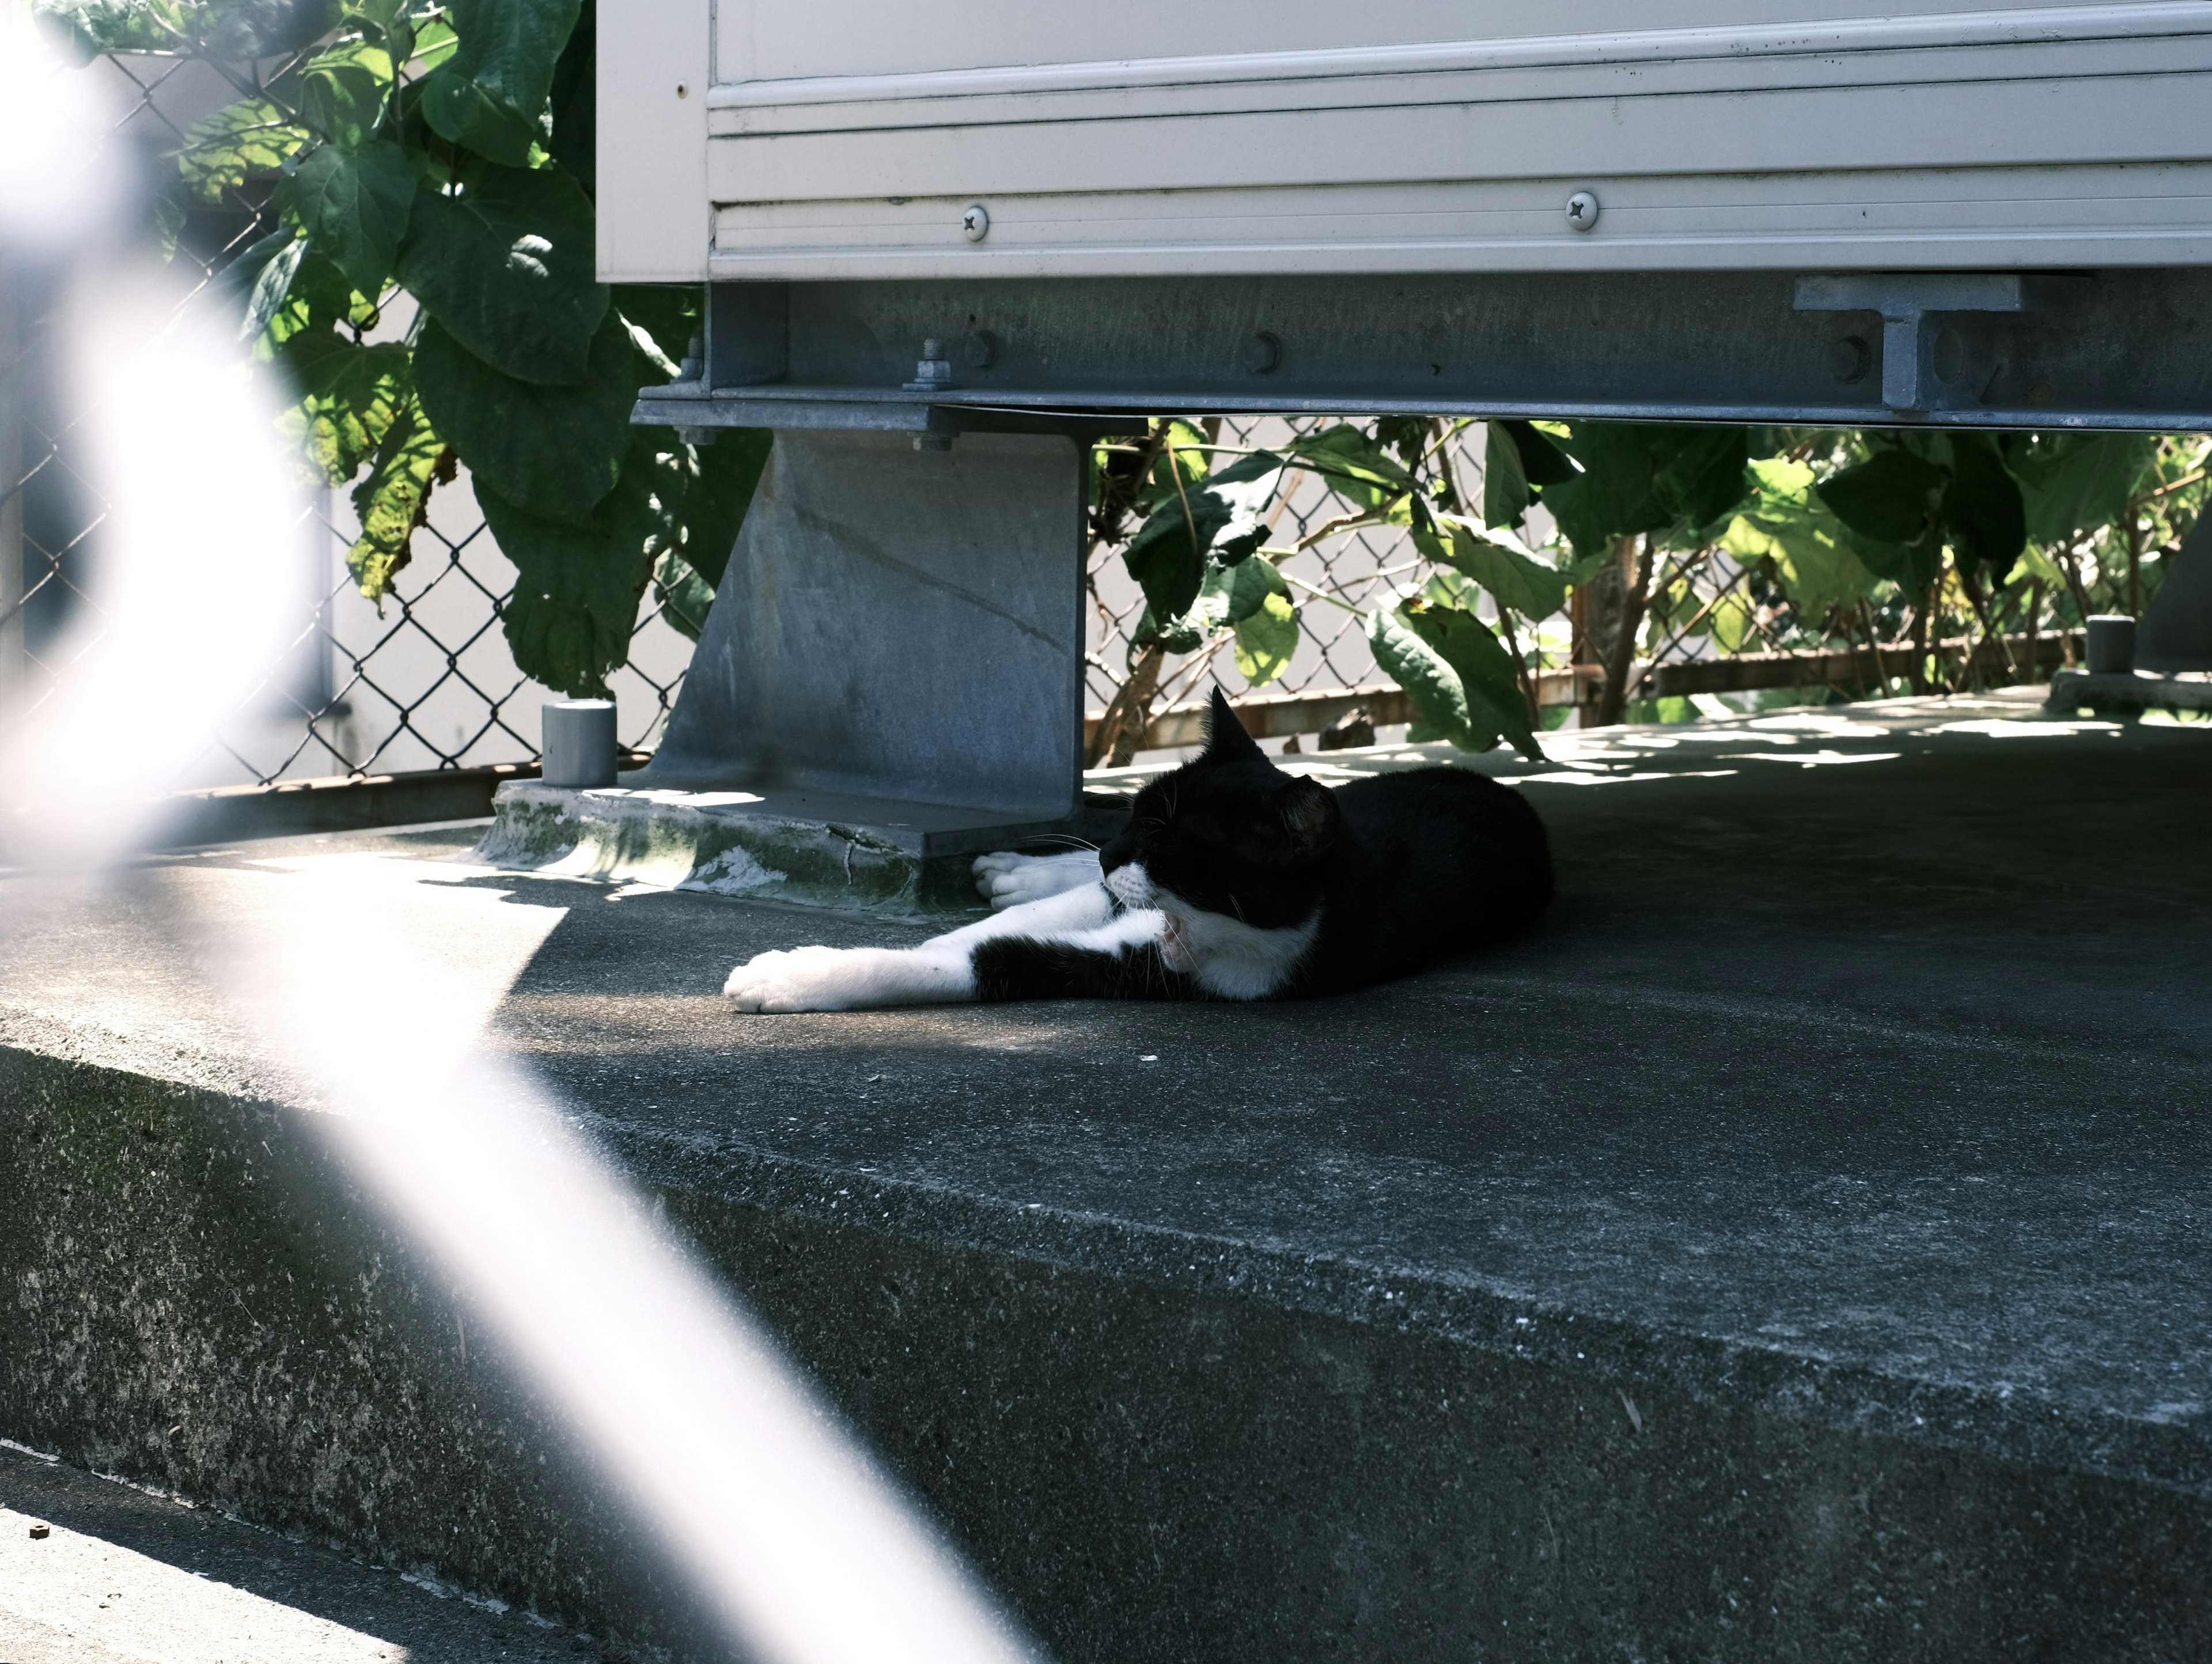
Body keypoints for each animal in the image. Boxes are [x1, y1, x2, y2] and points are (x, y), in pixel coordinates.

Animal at [725, 681, 1557, 1009]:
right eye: (1135, 813)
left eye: (1168, 840)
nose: (1110, 852)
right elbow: (973, 935)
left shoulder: (1217, 969)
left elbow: (988, 958)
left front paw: (789, 978)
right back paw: (1019, 868)